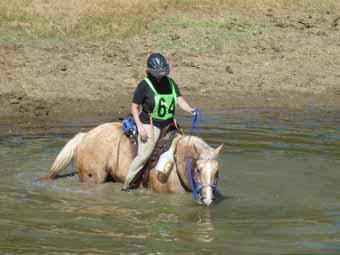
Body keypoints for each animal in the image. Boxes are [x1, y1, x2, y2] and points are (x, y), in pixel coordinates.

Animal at [39, 122, 224, 207]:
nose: (208, 199)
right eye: (198, 169)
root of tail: (85, 136)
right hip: (92, 178)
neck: (177, 163)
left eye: (217, 172)